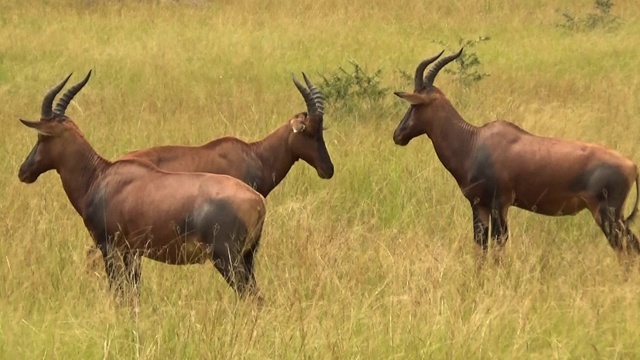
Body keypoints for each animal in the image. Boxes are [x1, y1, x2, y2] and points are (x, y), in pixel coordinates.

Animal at [18, 70, 268, 300]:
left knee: (250, 296)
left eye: (42, 136)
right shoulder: (132, 253)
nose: (24, 171)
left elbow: (119, 292)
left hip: (226, 258)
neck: (100, 176)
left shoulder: (109, 247)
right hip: (247, 257)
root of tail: (258, 202)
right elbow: (133, 293)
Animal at [392, 49, 636, 266]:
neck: (474, 142)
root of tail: (632, 166)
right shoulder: (479, 205)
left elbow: (499, 243)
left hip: (606, 215)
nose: (398, 135)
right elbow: (481, 246)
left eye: (414, 104)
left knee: (626, 249)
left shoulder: (500, 204)